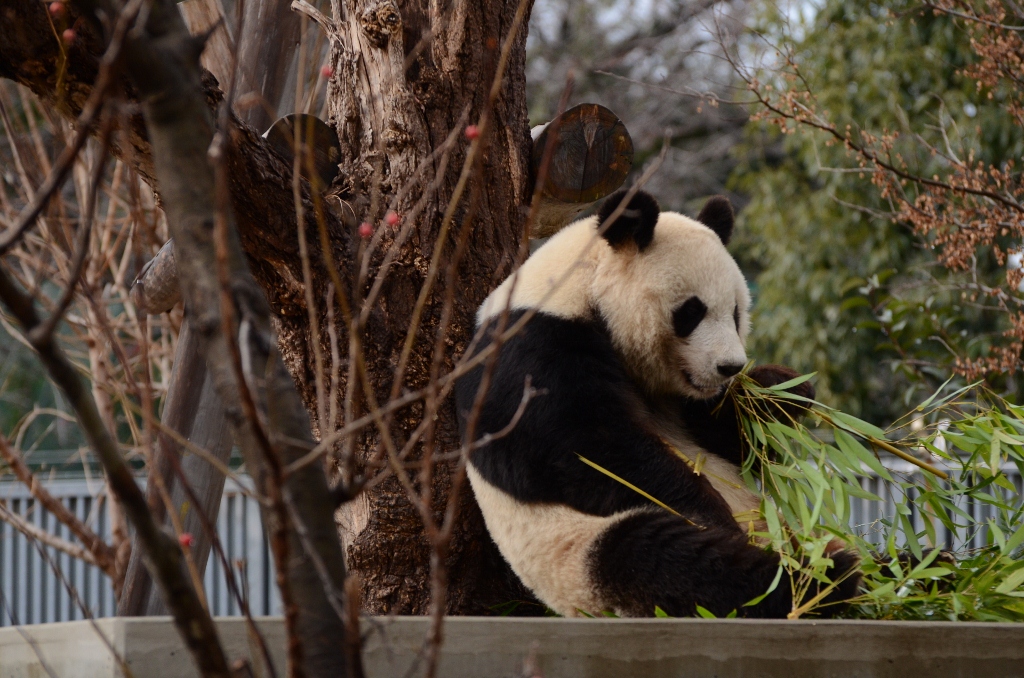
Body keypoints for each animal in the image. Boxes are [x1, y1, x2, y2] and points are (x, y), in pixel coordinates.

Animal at [452, 188, 860, 618]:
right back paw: (823, 577)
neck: (579, 287)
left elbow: (735, 438)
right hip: (578, 551)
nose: (729, 367)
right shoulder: (529, 349)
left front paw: (784, 391)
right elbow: (581, 450)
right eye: (692, 312)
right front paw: (708, 510)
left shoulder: (689, 402)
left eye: (735, 311)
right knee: (669, 560)